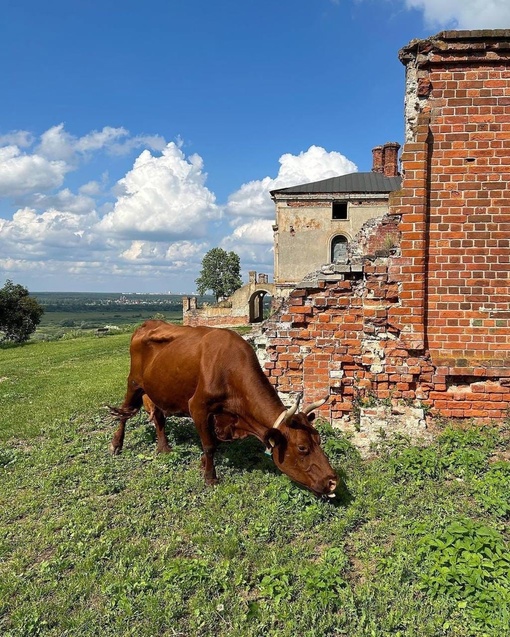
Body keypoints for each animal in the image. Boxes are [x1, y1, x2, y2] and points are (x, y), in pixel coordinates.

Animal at [109, 322, 336, 496]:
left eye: (319, 440)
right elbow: (210, 445)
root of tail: (148, 324)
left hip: (156, 389)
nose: (333, 482)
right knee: (124, 412)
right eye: (302, 448)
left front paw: (202, 464)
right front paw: (210, 477)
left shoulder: (221, 416)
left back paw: (163, 448)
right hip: (134, 382)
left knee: (158, 417)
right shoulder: (198, 407)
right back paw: (116, 444)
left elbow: (213, 442)